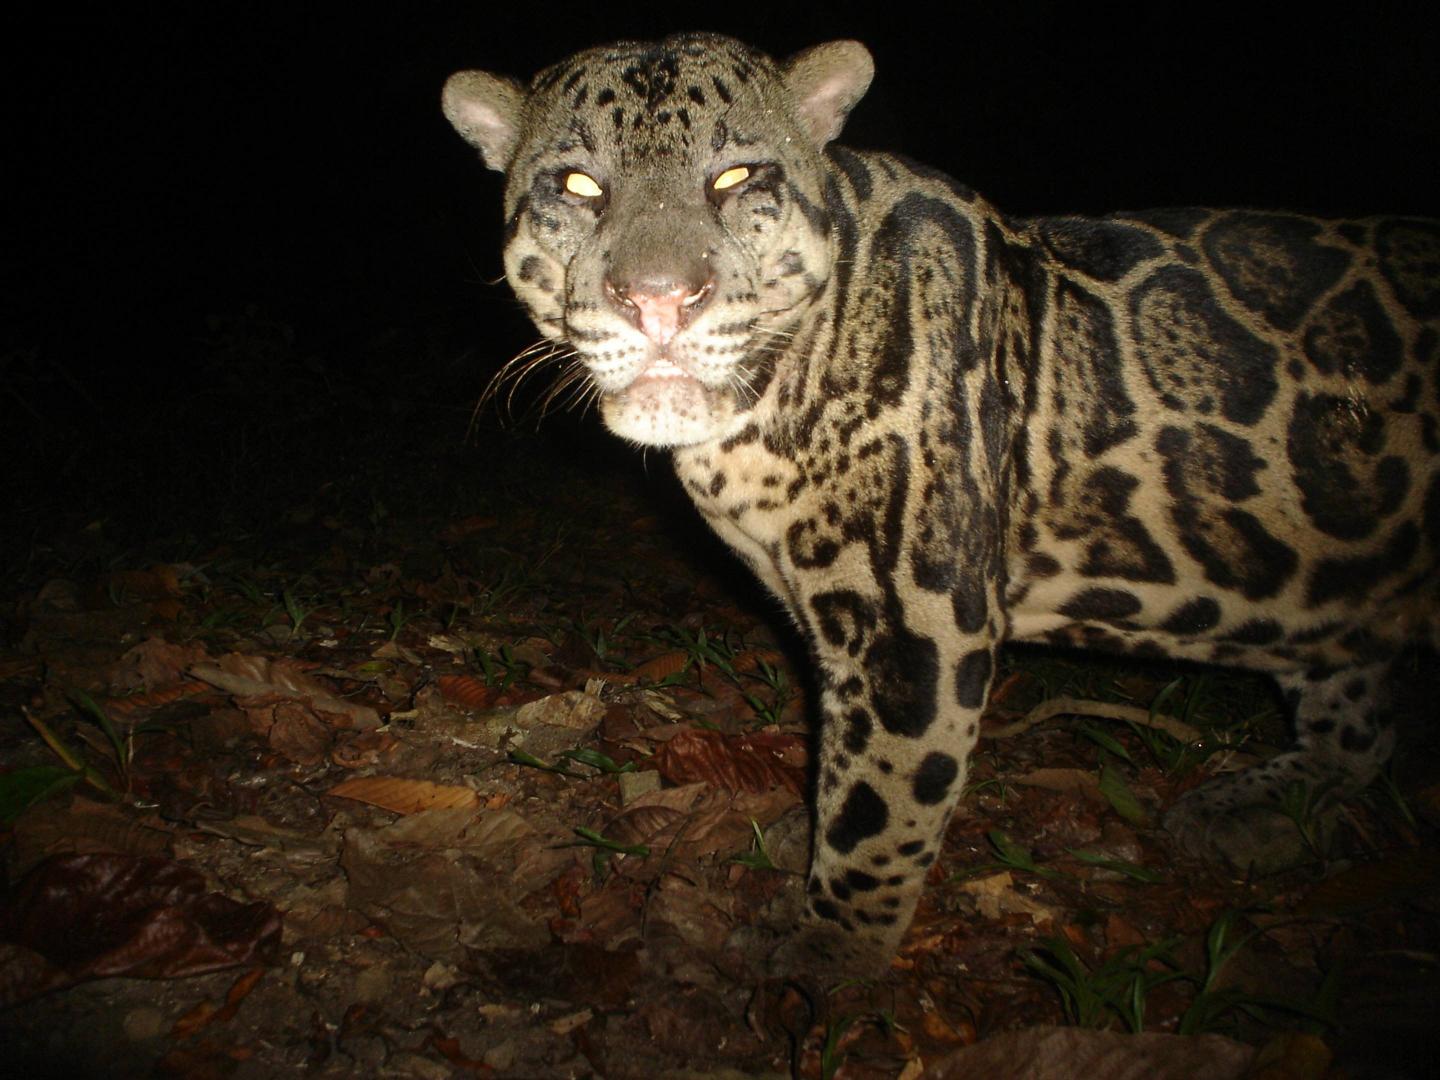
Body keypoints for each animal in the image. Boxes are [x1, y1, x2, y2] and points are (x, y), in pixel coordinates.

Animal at [440, 31, 1440, 973]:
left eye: (736, 178)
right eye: (578, 185)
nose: (658, 301)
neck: (757, 423)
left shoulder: (914, 620)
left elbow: (878, 804)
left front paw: (829, 951)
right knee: (1360, 720)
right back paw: (1252, 807)